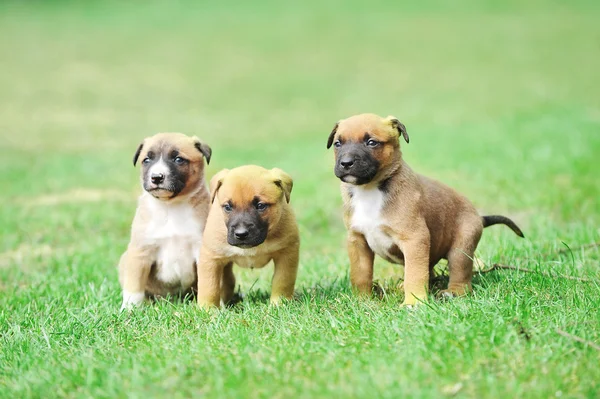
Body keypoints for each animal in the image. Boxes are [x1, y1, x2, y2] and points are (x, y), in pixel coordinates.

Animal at [116, 133, 211, 310]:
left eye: (178, 159)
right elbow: (134, 285)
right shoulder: (140, 252)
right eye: (146, 160)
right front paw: (130, 308)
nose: (156, 177)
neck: (170, 207)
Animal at [197, 166, 300, 310]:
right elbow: (209, 286)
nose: (241, 234)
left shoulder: (287, 254)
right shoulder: (210, 259)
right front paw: (208, 309)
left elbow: (283, 281)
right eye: (227, 207)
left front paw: (279, 303)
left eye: (260, 206)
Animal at [326, 114, 524, 308]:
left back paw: (453, 292)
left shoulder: (414, 239)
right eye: (337, 143)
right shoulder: (358, 241)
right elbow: (360, 274)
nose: (346, 163)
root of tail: (479, 217)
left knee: (460, 274)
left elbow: (415, 275)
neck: (370, 189)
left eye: (372, 142)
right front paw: (362, 300)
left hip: (461, 248)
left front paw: (414, 302)